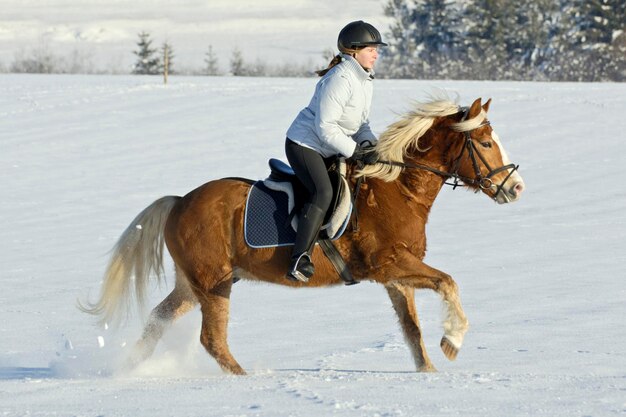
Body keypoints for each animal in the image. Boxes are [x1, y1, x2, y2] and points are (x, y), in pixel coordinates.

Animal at [81, 96, 520, 374]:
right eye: (484, 142)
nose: (515, 188)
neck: (396, 190)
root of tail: (179, 202)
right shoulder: (391, 265)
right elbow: (449, 283)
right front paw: (453, 342)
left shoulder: (396, 276)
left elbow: (412, 330)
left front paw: (428, 371)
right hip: (213, 284)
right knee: (212, 339)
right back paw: (247, 379)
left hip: (195, 285)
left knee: (158, 320)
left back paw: (127, 370)